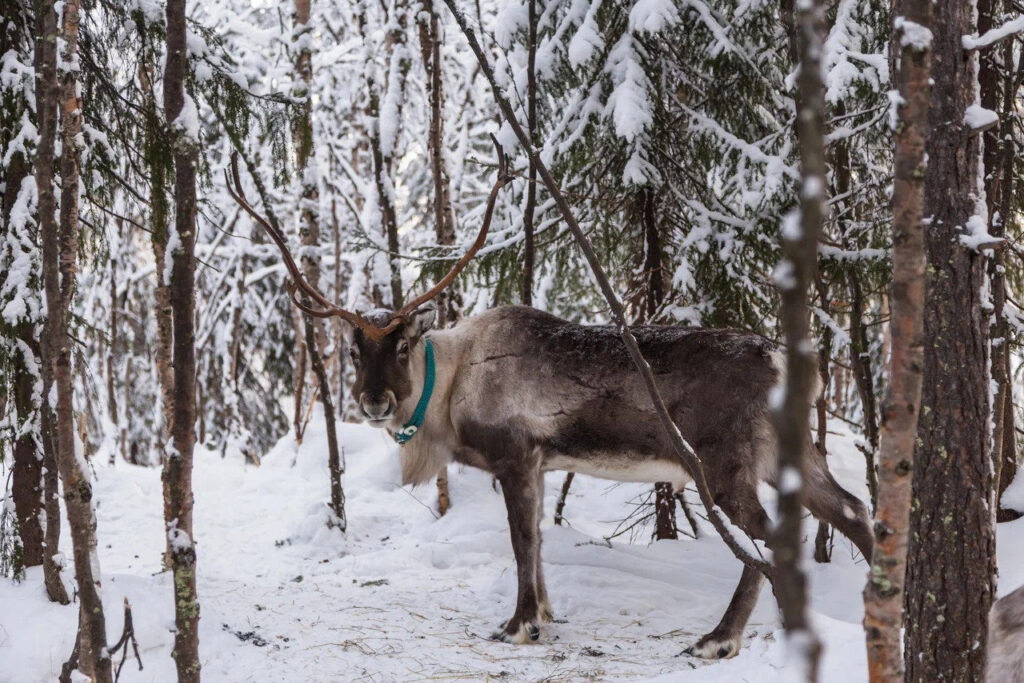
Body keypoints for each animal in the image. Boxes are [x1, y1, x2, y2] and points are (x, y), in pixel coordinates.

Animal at [225, 146, 874, 659]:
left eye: (404, 344)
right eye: (353, 348)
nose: (374, 401)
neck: (451, 385)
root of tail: (792, 363)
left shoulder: (514, 455)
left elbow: (522, 541)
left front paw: (517, 624)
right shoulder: (540, 463)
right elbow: (537, 539)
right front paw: (544, 613)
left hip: (726, 466)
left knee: (772, 538)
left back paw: (721, 638)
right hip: (789, 453)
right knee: (851, 507)